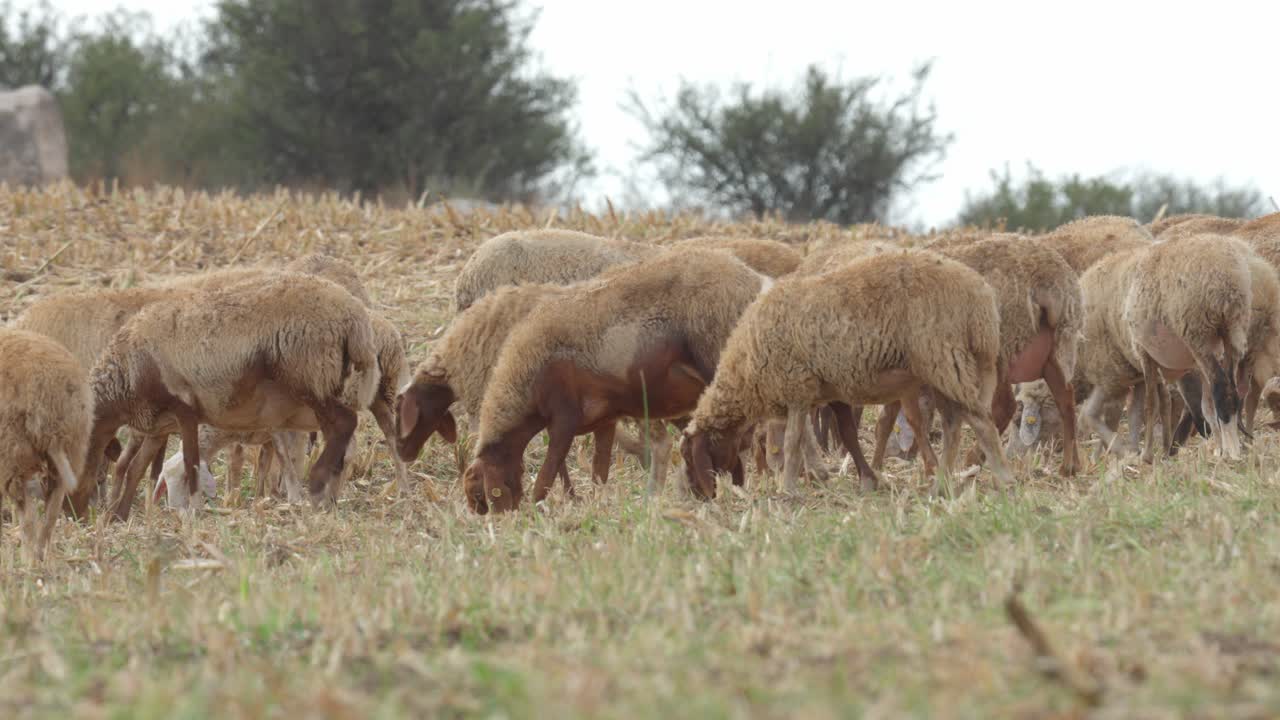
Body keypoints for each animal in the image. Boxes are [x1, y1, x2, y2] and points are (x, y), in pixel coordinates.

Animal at [0, 329, 91, 560]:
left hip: (11, 454)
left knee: (29, 517)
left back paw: (28, 560)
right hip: (73, 449)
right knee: (51, 512)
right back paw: (42, 556)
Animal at [73, 272, 380, 520]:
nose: (73, 516)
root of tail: (355, 318)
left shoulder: (185, 409)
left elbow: (190, 463)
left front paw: (193, 511)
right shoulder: (158, 425)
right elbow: (136, 469)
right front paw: (119, 516)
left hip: (312, 377)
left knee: (344, 423)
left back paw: (317, 484)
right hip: (324, 382)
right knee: (339, 434)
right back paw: (329, 494)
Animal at [460, 247, 771, 514]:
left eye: (482, 495)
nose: (500, 522)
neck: (527, 381)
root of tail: (754, 281)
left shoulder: (563, 419)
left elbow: (547, 475)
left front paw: (539, 509)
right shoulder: (604, 420)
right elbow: (599, 471)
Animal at [680, 249, 1014, 500]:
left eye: (688, 457)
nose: (700, 496)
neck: (744, 369)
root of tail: (981, 300)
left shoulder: (796, 385)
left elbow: (792, 443)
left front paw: (788, 490)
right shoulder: (812, 392)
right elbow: (817, 438)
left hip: (944, 358)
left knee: (981, 423)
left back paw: (1003, 480)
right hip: (943, 370)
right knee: (954, 426)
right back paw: (940, 486)